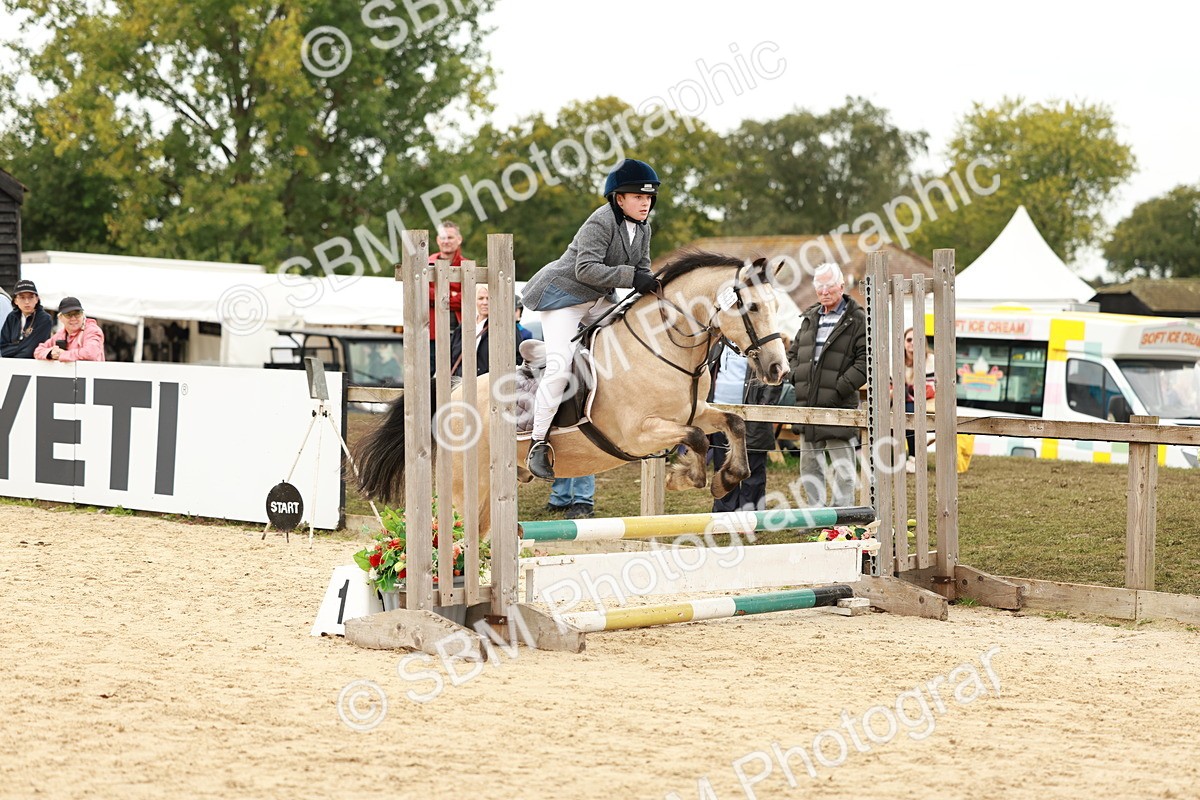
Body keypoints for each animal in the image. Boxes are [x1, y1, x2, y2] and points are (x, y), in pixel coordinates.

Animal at [353, 250, 792, 539]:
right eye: (752, 307)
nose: (778, 370)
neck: (661, 345)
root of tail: (454, 394)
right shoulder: (638, 433)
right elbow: (699, 439)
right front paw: (686, 477)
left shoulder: (693, 411)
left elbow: (732, 423)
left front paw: (726, 479)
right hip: (468, 484)